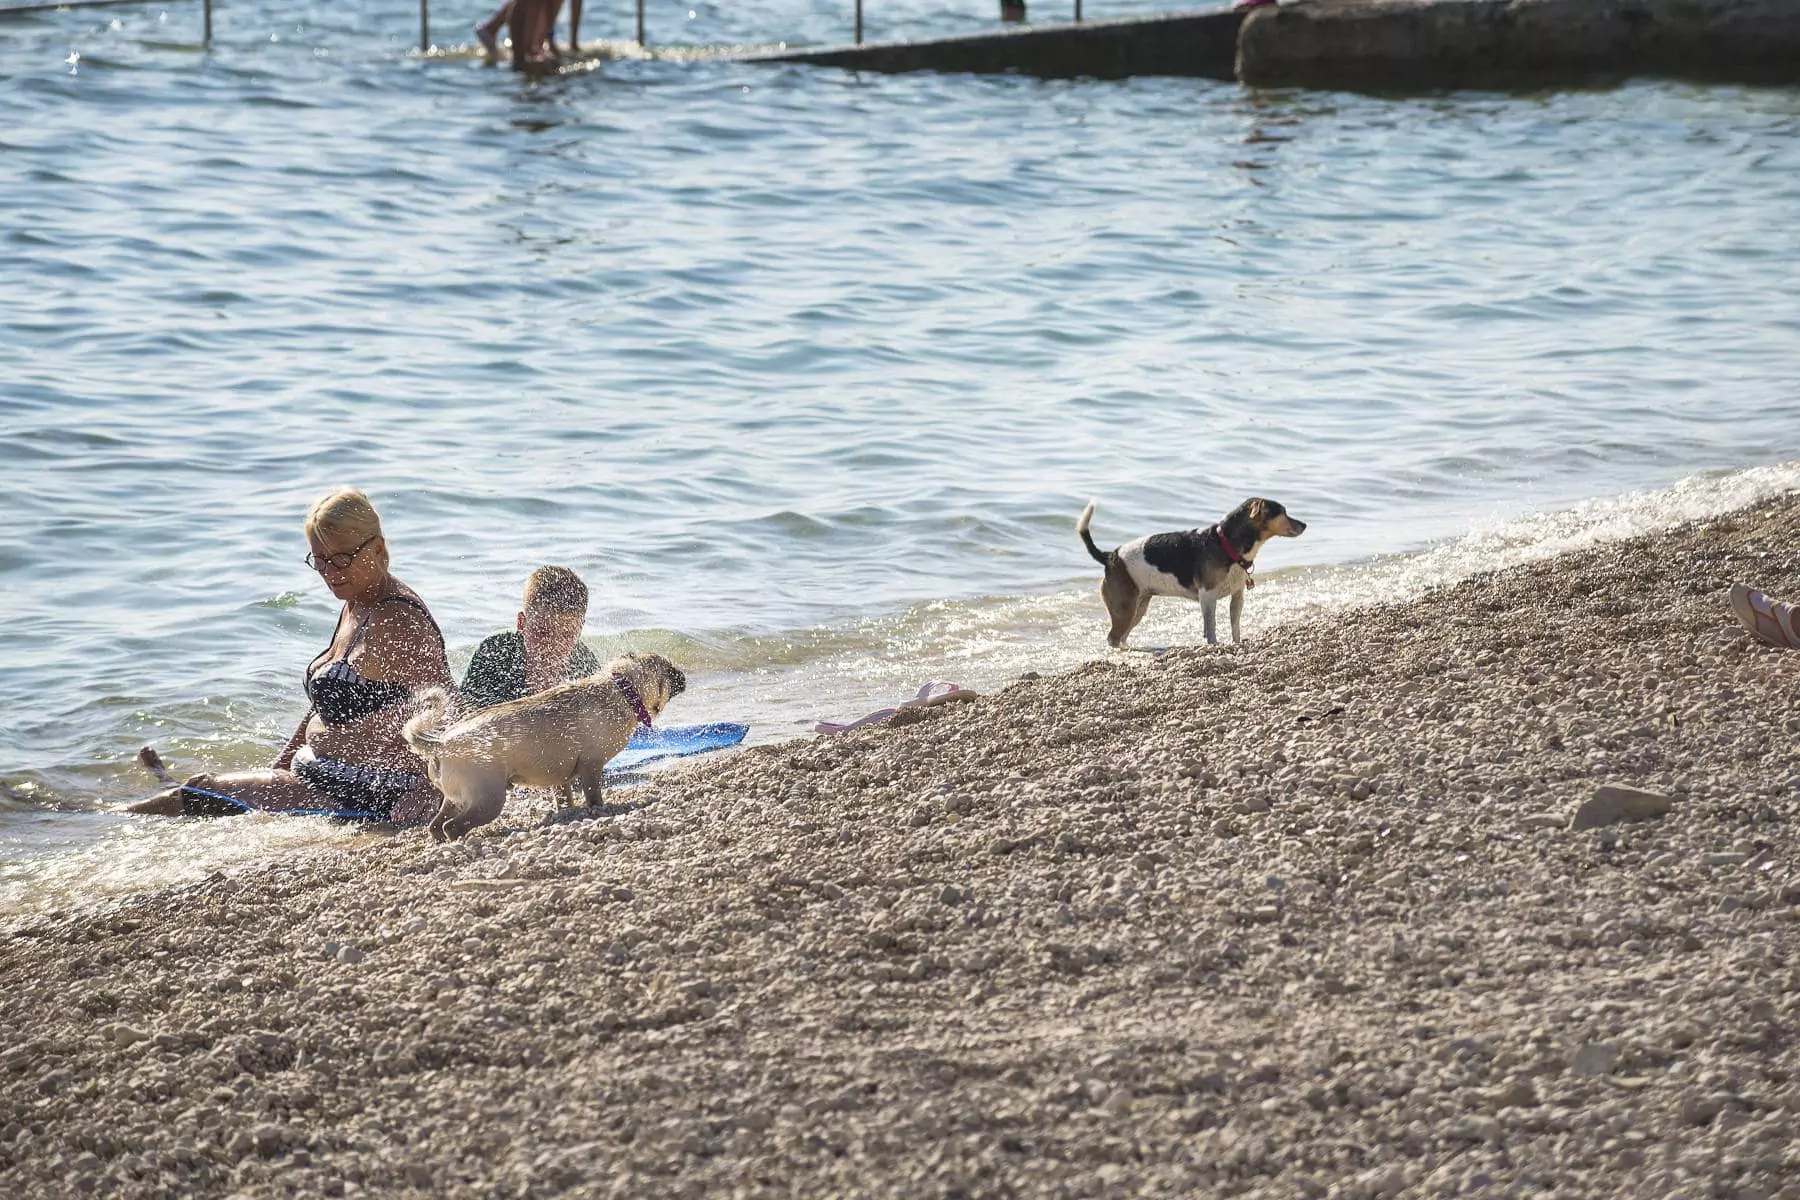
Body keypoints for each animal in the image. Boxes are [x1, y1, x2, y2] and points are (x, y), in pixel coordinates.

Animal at [405, 651, 684, 841]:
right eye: (670, 671)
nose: (683, 674)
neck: (622, 690)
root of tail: (442, 743)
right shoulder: (591, 768)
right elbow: (594, 796)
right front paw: (597, 810)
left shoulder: (560, 778)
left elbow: (564, 799)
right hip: (489, 801)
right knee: (452, 826)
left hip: (455, 799)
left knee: (436, 824)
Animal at [1072, 496, 1303, 647]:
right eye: (1283, 512)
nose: (1305, 525)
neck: (1226, 543)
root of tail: (1110, 556)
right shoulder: (1208, 597)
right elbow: (1211, 627)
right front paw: (1213, 645)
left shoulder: (1237, 596)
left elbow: (1235, 625)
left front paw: (1236, 643)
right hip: (1125, 608)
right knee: (1113, 638)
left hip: (1138, 606)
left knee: (1121, 636)